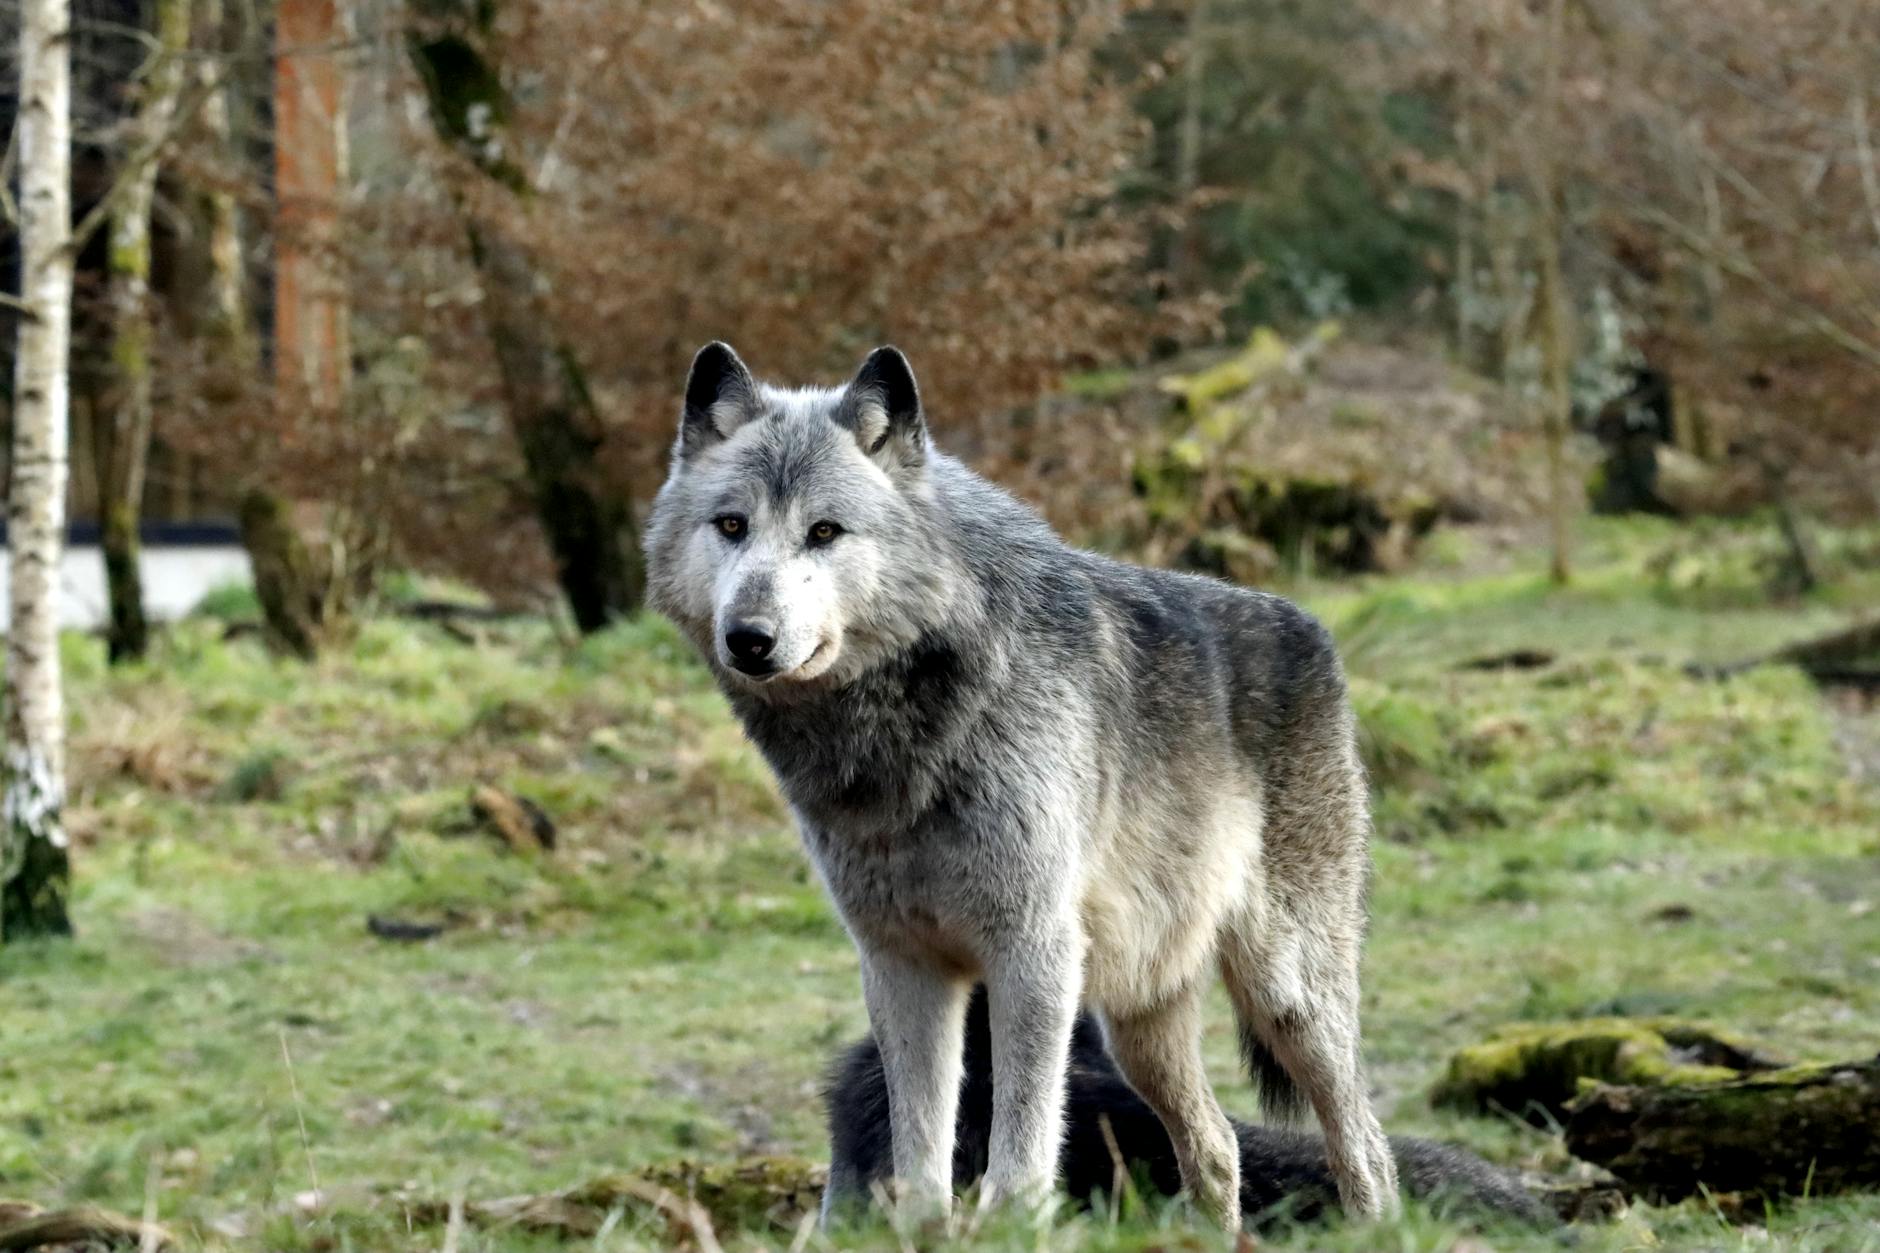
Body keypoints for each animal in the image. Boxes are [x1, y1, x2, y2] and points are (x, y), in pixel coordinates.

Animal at [643, 342, 1399, 1227]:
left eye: (823, 532)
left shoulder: (1032, 949)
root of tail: (1312, 623)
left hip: (1287, 994)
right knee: (1216, 1147)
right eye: (732, 525)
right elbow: (921, 1161)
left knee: (1366, 1146)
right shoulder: (900, 961)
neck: (910, 736)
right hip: (1140, 1020)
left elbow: (1022, 1155)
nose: (750, 637)